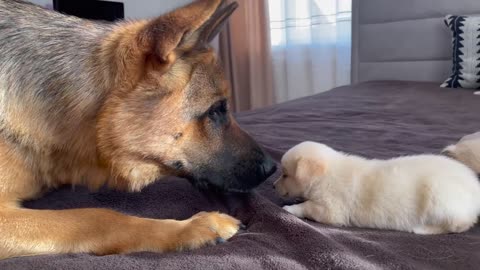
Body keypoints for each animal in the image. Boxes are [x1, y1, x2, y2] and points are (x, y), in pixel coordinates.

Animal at [274, 141, 480, 234]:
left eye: (285, 174)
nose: (273, 185)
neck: (325, 175)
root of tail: (475, 188)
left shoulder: (331, 209)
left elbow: (308, 207)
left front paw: (290, 208)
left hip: (441, 200)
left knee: (459, 224)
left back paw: (423, 229)